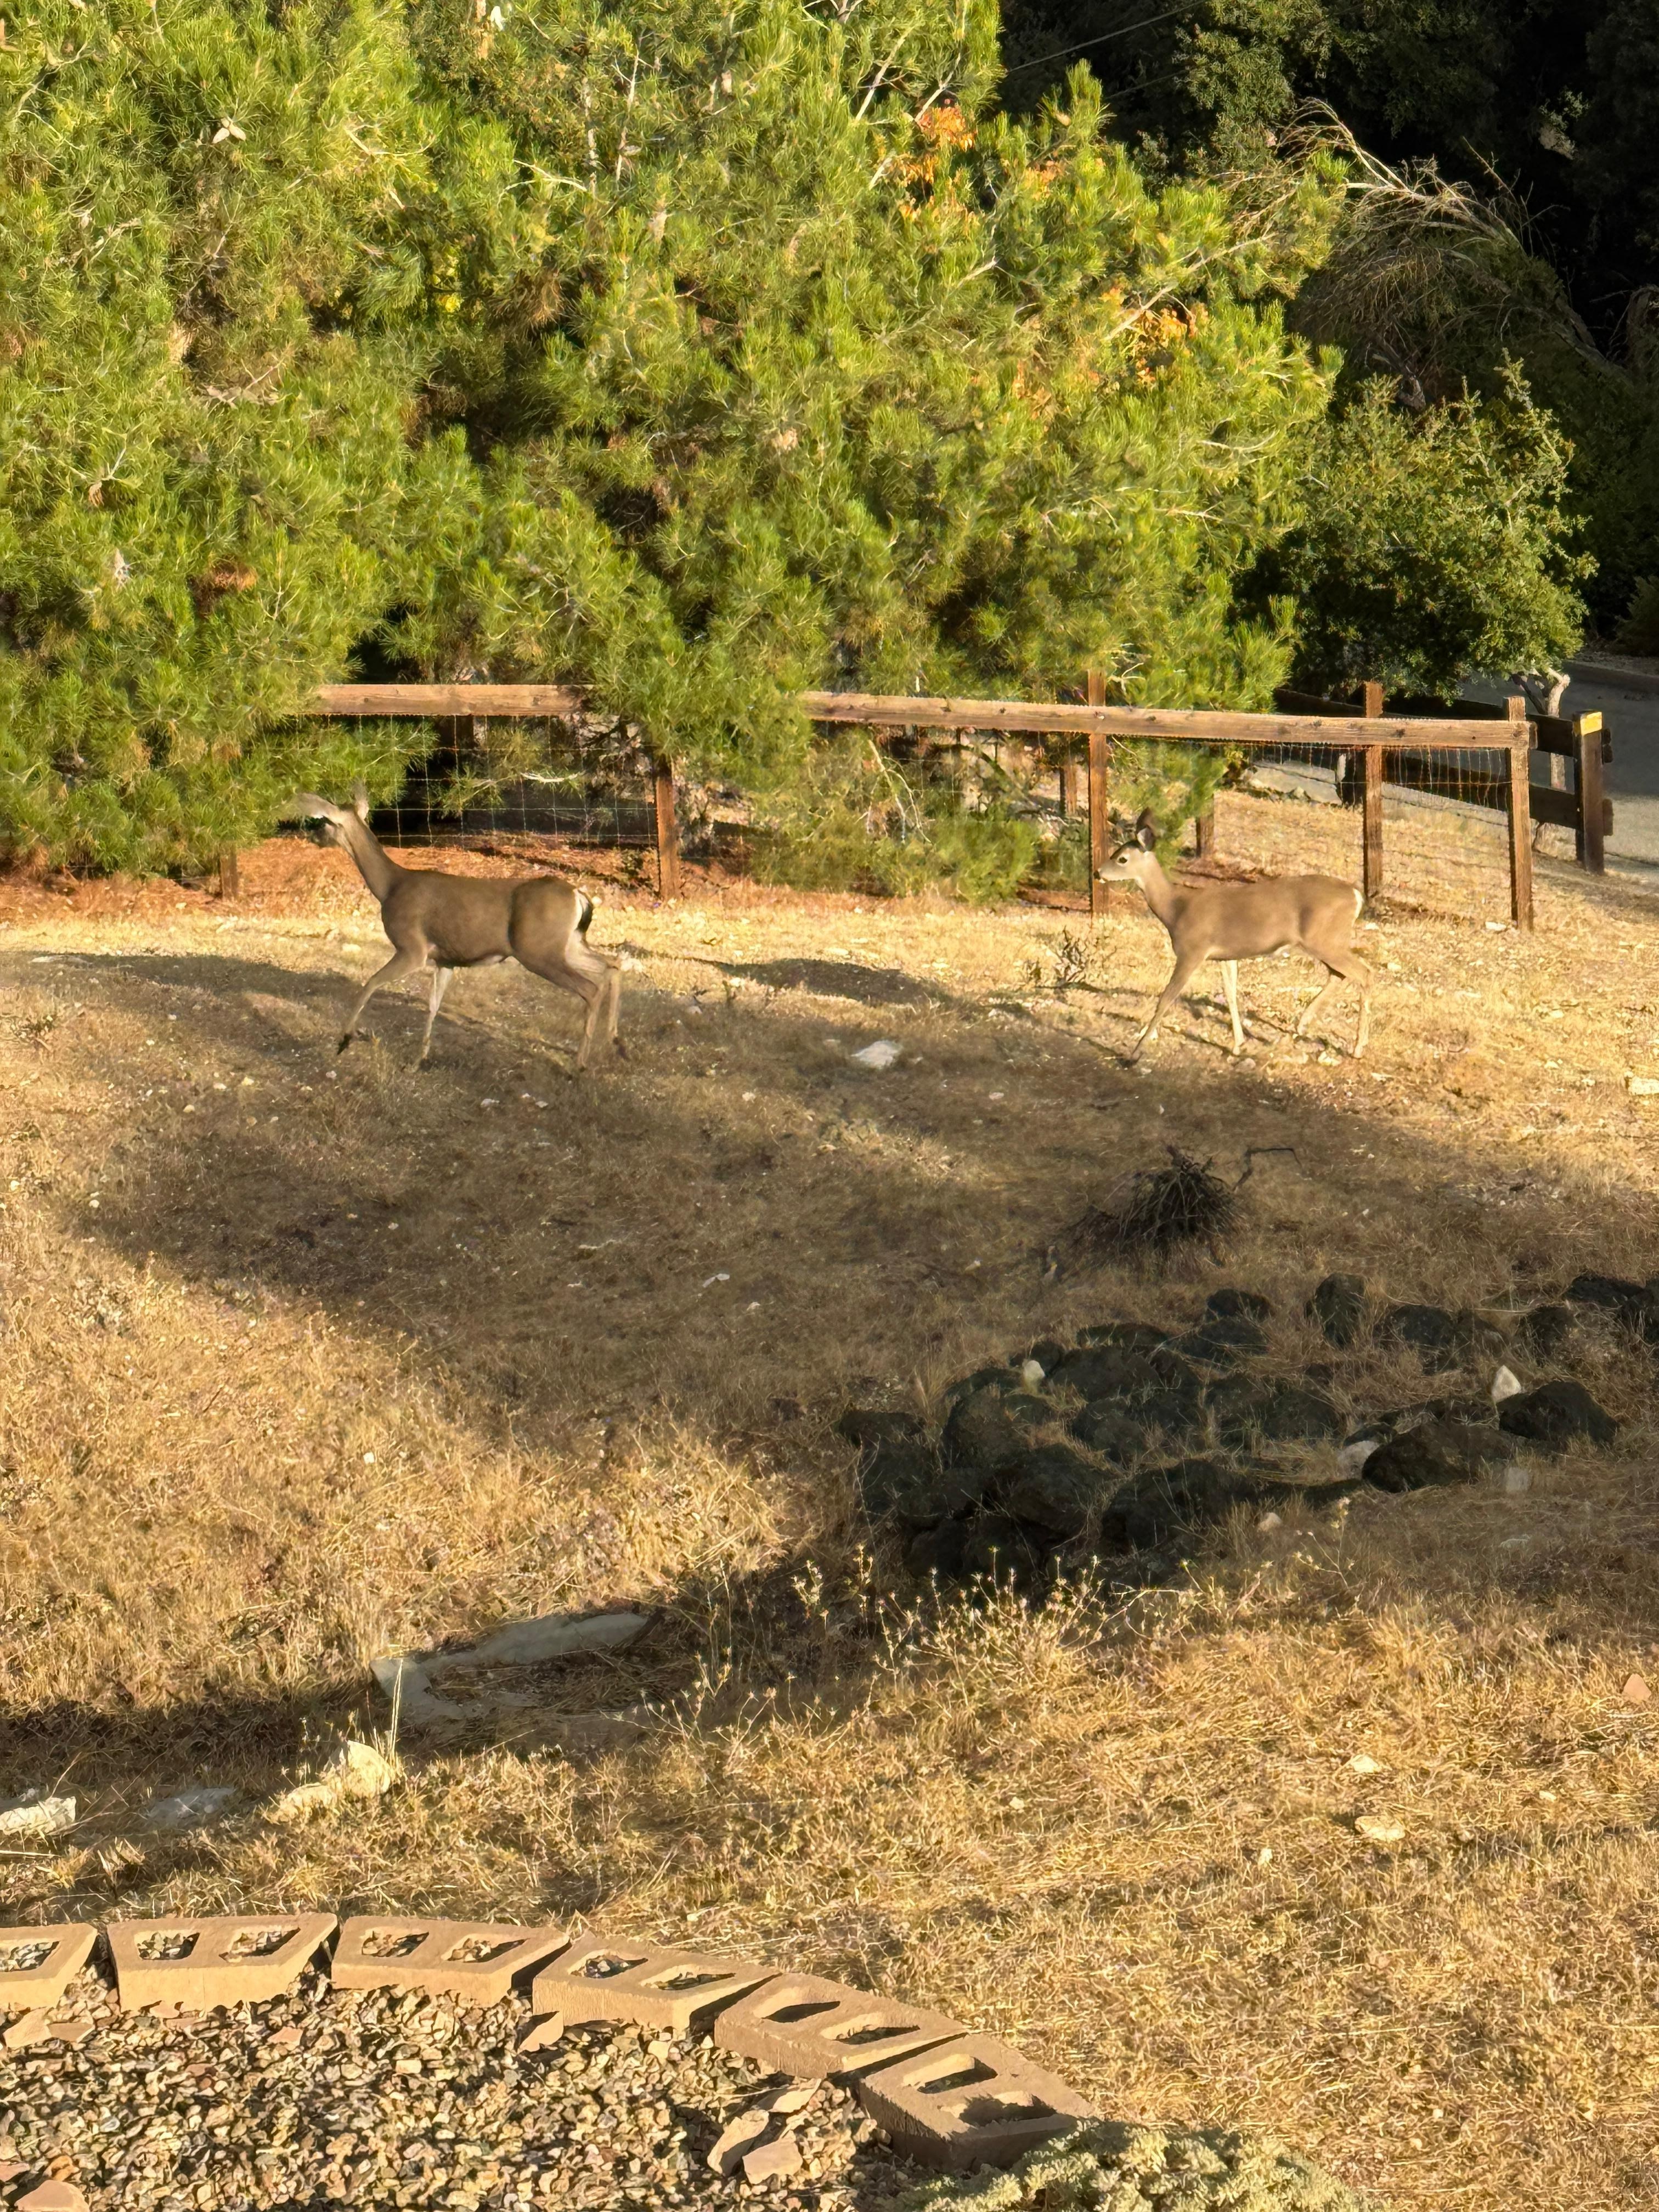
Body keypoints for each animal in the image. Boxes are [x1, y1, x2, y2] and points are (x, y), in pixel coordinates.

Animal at [285, 787, 623, 1071]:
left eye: (325, 821)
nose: (310, 835)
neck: (390, 887)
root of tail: (578, 894)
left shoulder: (412, 947)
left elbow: (370, 983)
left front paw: (345, 1039)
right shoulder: (446, 959)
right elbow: (433, 1005)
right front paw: (417, 1060)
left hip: (538, 950)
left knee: (591, 988)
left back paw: (580, 1064)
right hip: (568, 944)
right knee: (612, 965)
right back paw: (614, 1041)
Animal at [1098, 812, 1371, 1061]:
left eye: (1122, 858)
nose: (1098, 872)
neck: (1175, 909)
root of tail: (1357, 896)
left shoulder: (1192, 950)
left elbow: (1166, 998)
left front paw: (1135, 1053)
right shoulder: (1225, 956)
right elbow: (1231, 994)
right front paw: (1238, 1044)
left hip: (1325, 940)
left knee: (1365, 973)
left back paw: (1358, 1048)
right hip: (1327, 941)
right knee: (1340, 974)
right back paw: (1302, 1025)